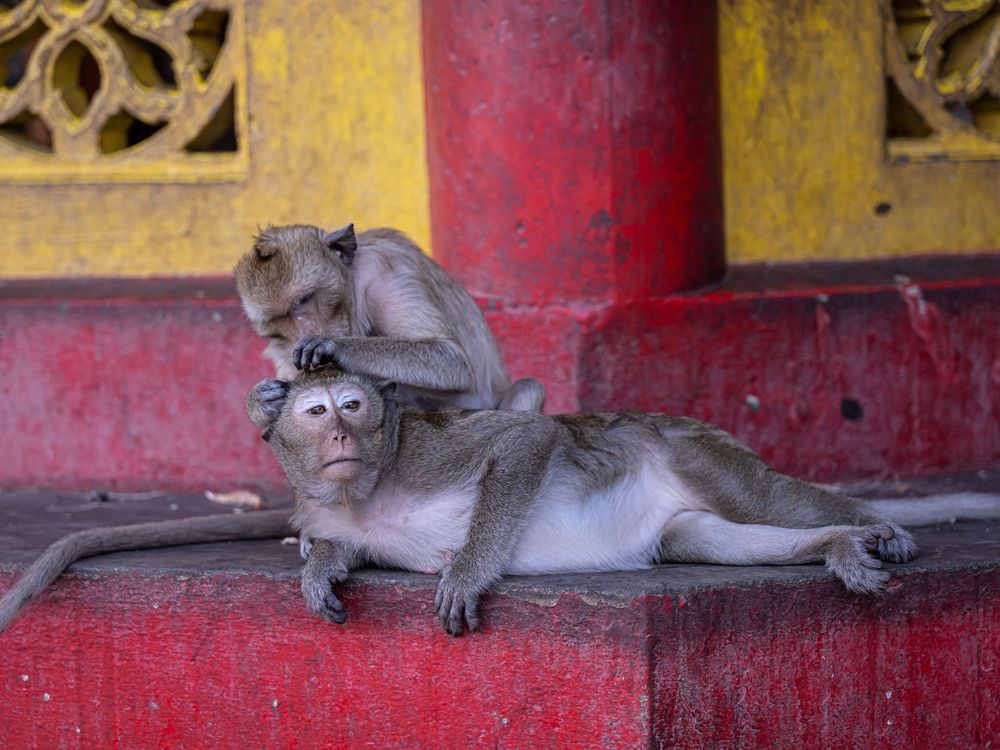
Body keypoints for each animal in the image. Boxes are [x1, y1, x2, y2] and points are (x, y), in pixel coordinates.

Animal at [234, 223, 545, 413]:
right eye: (280, 318)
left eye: (303, 300)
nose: (304, 333)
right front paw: (261, 400)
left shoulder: (385, 273)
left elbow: (450, 358)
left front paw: (333, 345)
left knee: (527, 389)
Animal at [247, 369, 1000, 636]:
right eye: (316, 411)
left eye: (351, 405)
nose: (341, 432)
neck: (363, 487)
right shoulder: (323, 508)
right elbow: (333, 542)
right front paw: (320, 569)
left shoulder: (424, 451)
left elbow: (527, 437)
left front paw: (466, 572)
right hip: (681, 514)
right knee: (705, 539)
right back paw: (838, 544)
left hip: (696, 449)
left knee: (770, 498)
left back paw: (877, 527)